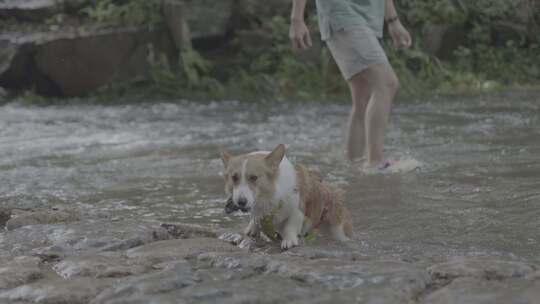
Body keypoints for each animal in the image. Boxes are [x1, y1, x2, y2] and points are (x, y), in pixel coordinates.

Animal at [220, 144, 354, 248]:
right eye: (234, 177)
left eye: (254, 177)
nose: (241, 202)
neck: (269, 196)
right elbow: (255, 218)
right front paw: (252, 227)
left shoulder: (298, 209)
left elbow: (291, 225)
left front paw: (289, 240)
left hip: (337, 227)